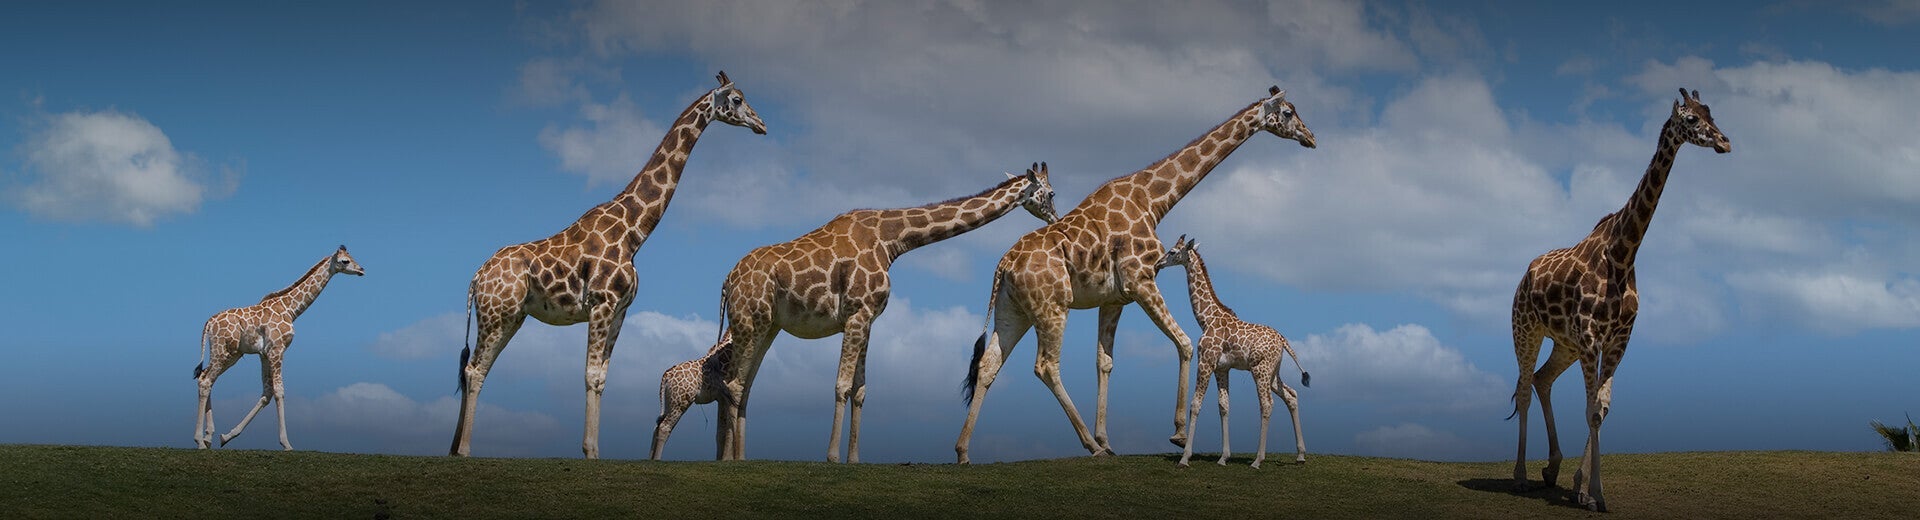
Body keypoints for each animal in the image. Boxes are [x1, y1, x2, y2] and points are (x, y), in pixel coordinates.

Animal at [193, 246, 366, 450]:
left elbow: (267, 392)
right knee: (206, 380)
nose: (361, 270)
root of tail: (209, 323)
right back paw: (199, 440)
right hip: (222, 351)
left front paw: (227, 436)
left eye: (352, 257)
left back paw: (208, 437)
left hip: (231, 354)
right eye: (345, 261)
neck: (291, 310)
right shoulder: (277, 349)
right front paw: (287, 443)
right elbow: (279, 391)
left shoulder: (264, 354)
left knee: (205, 378)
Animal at [650, 332, 734, 460]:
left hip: (669, 401)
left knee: (657, 425)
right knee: (665, 426)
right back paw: (656, 460)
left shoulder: (721, 398)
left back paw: (648, 458)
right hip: (680, 403)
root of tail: (666, 376)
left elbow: (721, 430)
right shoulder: (727, 394)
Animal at [715, 163, 1060, 462]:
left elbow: (860, 390)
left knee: (744, 385)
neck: (893, 239)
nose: (1055, 219)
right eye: (1052, 193)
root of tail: (727, 281)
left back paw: (742, 457)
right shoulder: (856, 313)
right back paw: (730, 460)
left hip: (769, 326)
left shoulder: (867, 319)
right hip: (749, 321)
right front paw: (832, 457)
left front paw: (854, 459)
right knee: (732, 383)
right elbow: (841, 385)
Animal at [1155, 236, 1310, 469]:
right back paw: (1300, 455)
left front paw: (1184, 458)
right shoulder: (1222, 368)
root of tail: (1283, 340)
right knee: (1291, 395)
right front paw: (1223, 457)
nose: (1158, 263)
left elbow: (1196, 404)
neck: (1206, 319)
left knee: (1267, 404)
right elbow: (1224, 406)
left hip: (1260, 370)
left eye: (1173, 252)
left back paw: (1257, 460)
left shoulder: (1206, 361)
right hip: (1273, 372)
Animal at [1508, 88, 1730, 511]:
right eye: (1691, 119)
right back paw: (1521, 476)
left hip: (1564, 344)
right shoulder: (1591, 339)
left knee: (1542, 380)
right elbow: (1590, 410)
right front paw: (1593, 494)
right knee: (1525, 388)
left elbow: (1601, 409)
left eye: (1712, 112)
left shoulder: (1617, 341)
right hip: (1525, 329)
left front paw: (1583, 489)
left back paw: (1550, 468)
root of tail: (1525, 276)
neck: (1623, 253)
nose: (1725, 142)